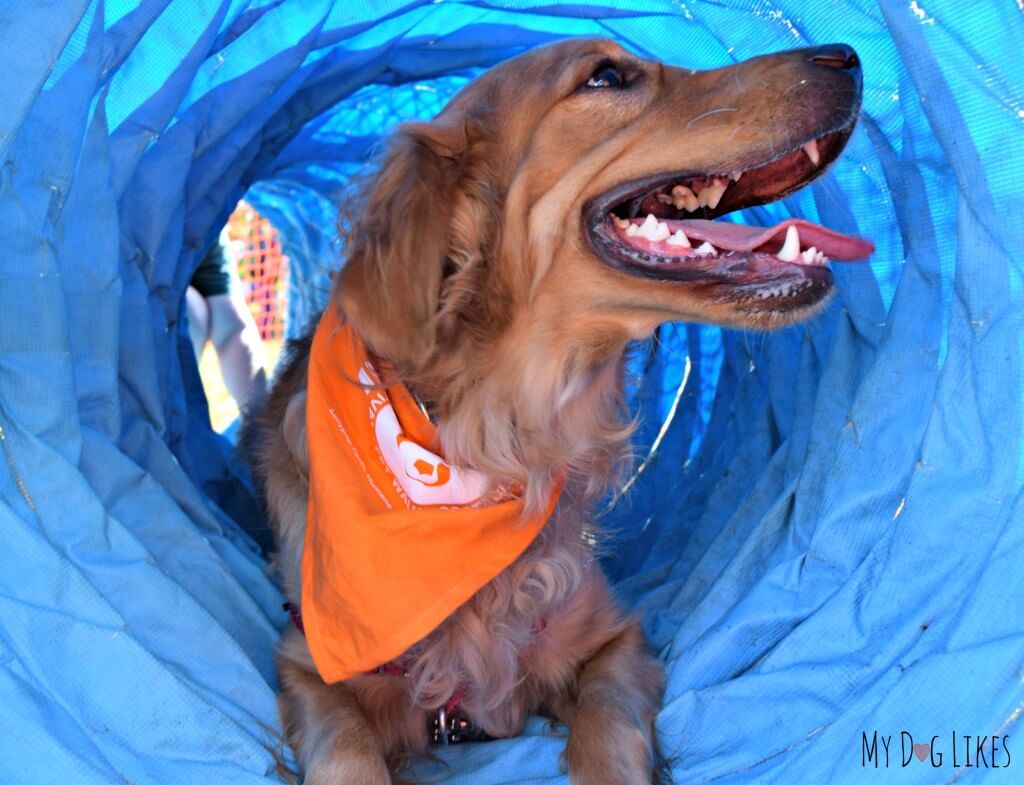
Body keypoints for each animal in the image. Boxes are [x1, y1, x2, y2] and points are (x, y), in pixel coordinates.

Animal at [251, 36, 868, 785]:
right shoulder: (310, 665)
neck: (498, 442)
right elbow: (347, 749)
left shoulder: (613, 639)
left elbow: (608, 728)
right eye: (605, 77)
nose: (847, 56)